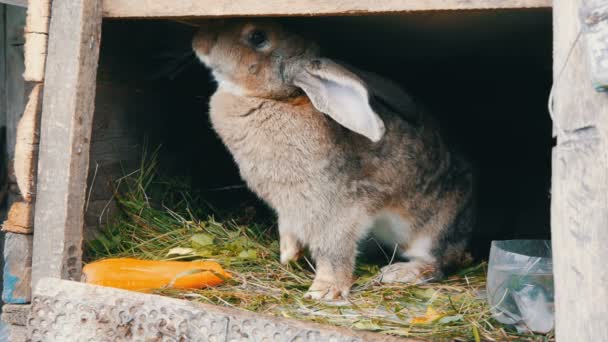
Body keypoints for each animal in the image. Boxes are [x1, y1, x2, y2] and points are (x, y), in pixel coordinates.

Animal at [194, 20, 476, 300]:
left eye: (257, 36)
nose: (199, 39)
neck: (275, 98)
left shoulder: (335, 208)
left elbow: (333, 251)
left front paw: (324, 290)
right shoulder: (288, 209)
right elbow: (288, 229)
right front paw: (288, 255)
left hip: (431, 232)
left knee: (437, 264)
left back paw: (399, 273)